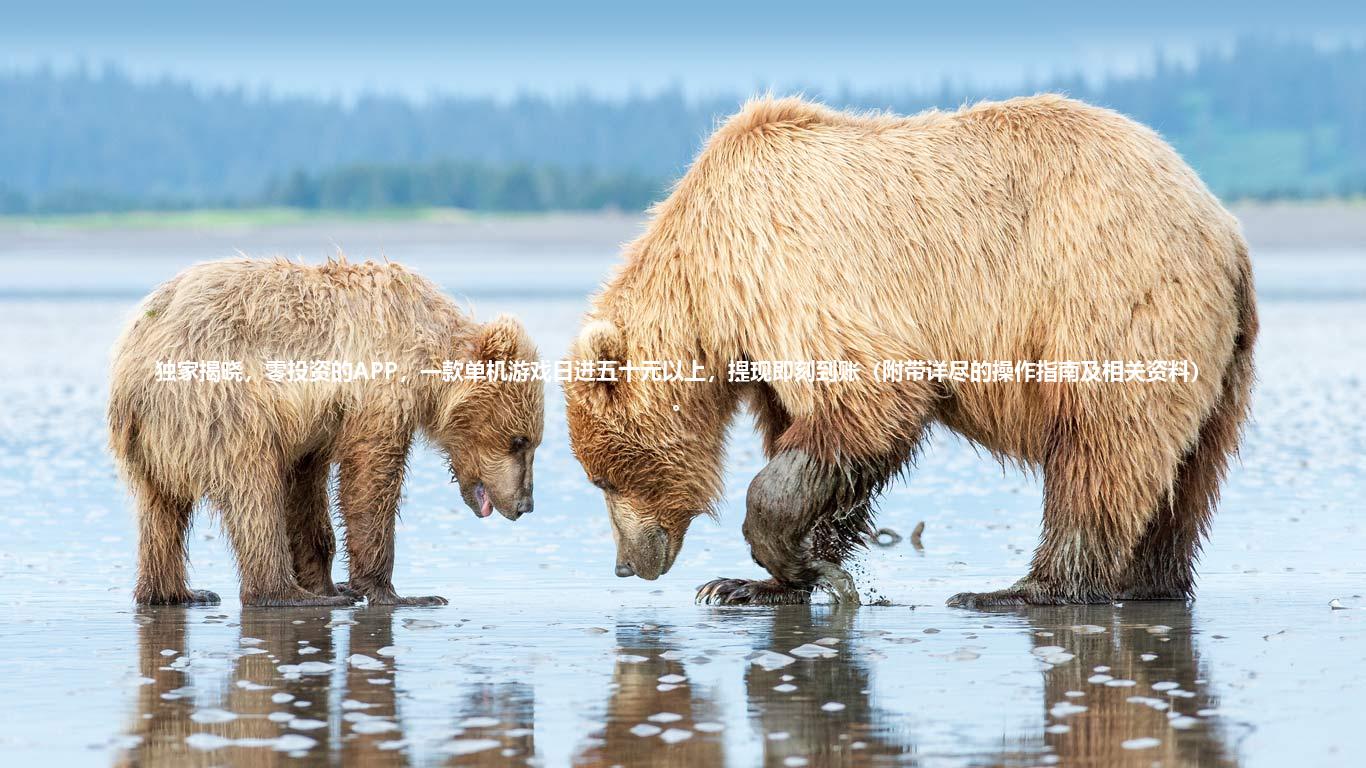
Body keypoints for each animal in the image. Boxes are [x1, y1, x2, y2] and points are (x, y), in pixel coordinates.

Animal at [107, 256, 543, 604]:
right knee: (253, 488)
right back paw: (283, 594)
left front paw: (329, 582)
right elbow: (369, 480)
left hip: (154, 440)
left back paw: (177, 593)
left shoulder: (315, 426)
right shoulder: (378, 388)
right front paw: (395, 593)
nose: (526, 504)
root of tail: (135, 355)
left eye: (532, 442)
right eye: (518, 441)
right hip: (219, 402)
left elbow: (305, 491)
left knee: (161, 510)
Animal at [565, 94, 1256, 604]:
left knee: (1100, 447)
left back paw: (1022, 589)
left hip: (1108, 299)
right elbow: (815, 440)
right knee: (1186, 475)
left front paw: (782, 557)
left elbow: (868, 401)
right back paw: (1151, 582)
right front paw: (761, 581)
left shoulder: (794, 271)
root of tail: (1224, 228)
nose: (627, 564)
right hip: (1218, 363)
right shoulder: (763, 349)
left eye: (602, 478)